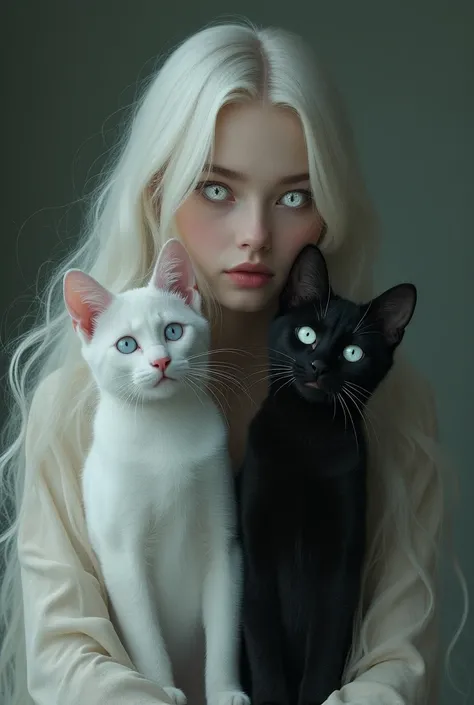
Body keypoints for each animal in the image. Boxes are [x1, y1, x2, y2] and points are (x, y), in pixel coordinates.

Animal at [63, 239, 248, 704]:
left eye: (173, 332)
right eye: (127, 345)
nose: (162, 362)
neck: (165, 432)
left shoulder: (223, 545)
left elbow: (224, 631)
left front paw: (225, 691)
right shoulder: (121, 554)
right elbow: (145, 634)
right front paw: (162, 688)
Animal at [239, 243, 416, 704]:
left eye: (353, 353)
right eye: (307, 335)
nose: (318, 364)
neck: (308, 436)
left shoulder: (341, 557)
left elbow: (325, 645)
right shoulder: (255, 550)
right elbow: (262, 640)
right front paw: (271, 697)